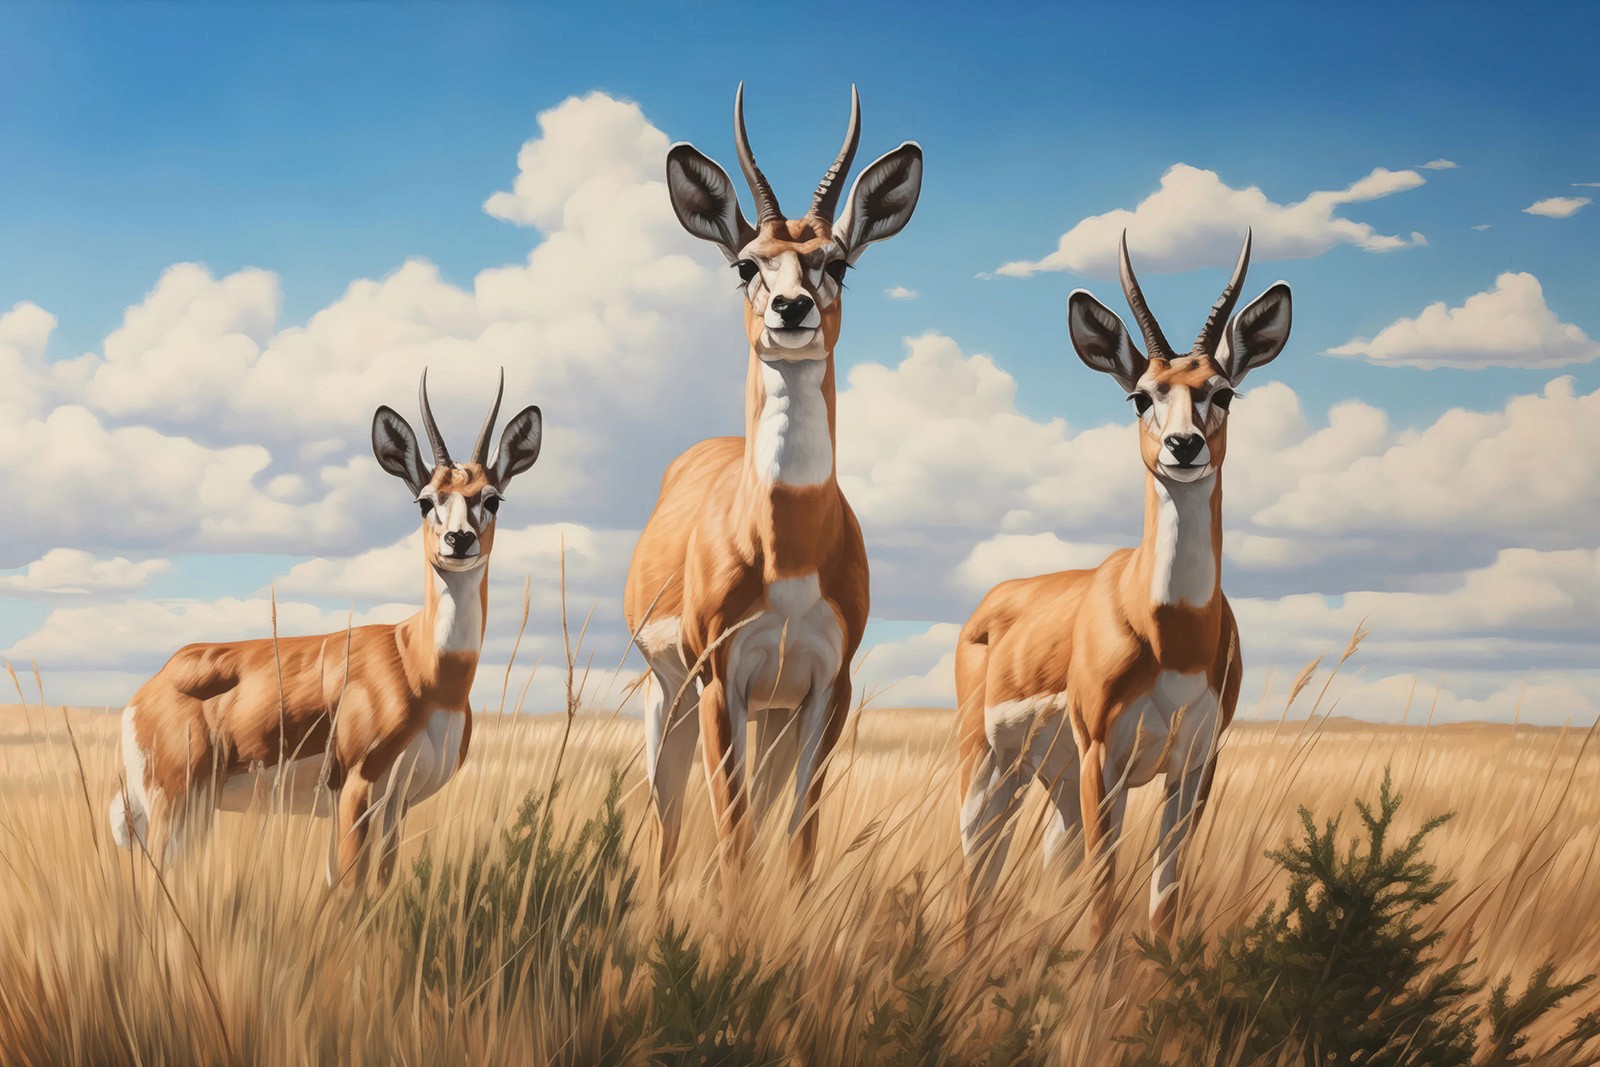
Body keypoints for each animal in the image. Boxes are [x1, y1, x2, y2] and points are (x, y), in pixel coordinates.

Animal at [109, 371, 543, 885]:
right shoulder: (355, 789)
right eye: (424, 501)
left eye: (491, 498)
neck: (422, 669)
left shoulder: (395, 805)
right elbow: (347, 886)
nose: (459, 541)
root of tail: (146, 693)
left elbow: (379, 884)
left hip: (195, 814)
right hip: (174, 806)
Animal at [624, 85, 922, 888]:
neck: (787, 547)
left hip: (774, 716)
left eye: (836, 263)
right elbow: (732, 835)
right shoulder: (723, 680)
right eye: (746, 265)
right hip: (675, 698)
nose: (792, 309)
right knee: (670, 823)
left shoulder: (825, 687)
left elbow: (799, 836)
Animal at [956, 231, 1291, 941]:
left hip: (1051, 785)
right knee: (976, 869)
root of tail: (995, 600)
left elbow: (1164, 902)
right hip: (991, 765)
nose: (1183, 445)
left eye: (1222, 392)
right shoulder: (1101, 760)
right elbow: (1104, 902)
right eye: (1142, 395)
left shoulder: (1194, 767)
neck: (1175, 635)